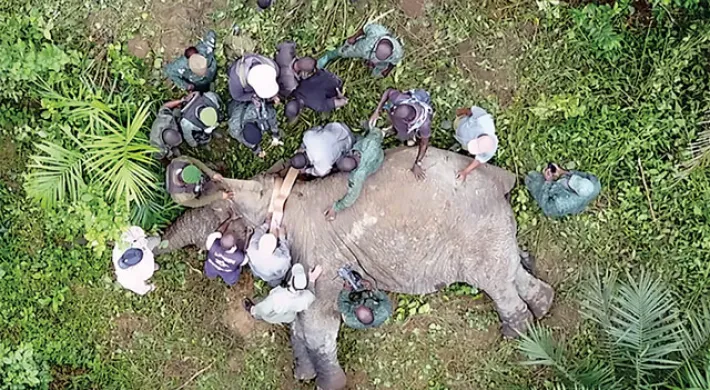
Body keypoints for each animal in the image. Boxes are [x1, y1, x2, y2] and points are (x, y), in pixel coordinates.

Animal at [156, 147, 556, 390]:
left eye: (219, 212)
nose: (175, 164)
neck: (281, 194)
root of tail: (501, 179)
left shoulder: (322, 254)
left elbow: (317, 321)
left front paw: (325, 383)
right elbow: (301, 319)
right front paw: (303, 372)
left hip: (475, 231)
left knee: (495, 281)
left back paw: (517, 333)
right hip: (492, 228)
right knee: (509, 271)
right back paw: (542, 306)